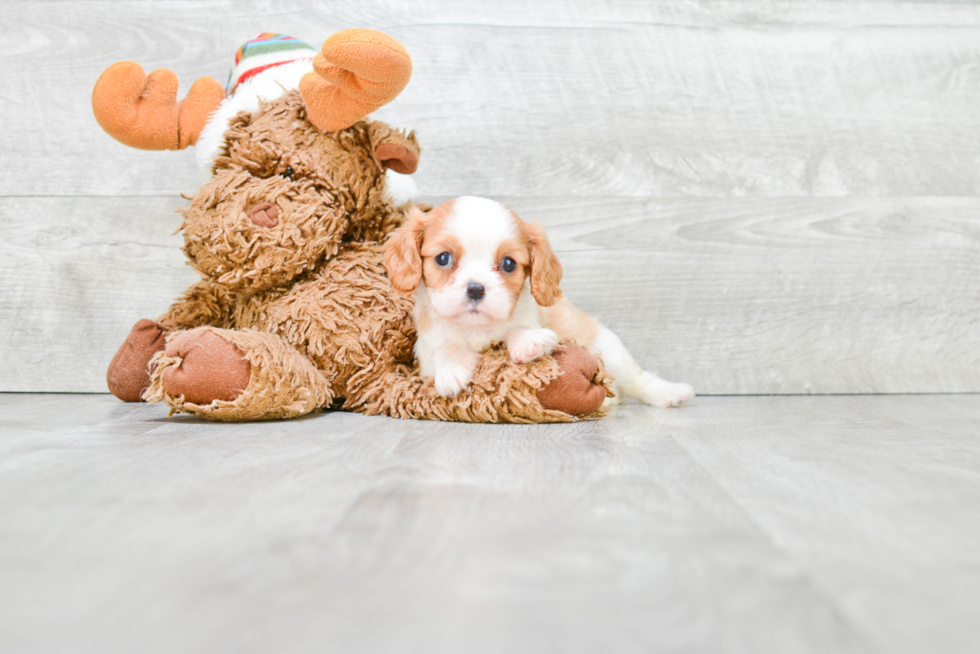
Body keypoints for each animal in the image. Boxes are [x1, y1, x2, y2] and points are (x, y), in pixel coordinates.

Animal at [378, 197, 692, 408]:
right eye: (443, 258)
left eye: (508, 263)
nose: (476, 289)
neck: (477, 328)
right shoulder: (426, 351)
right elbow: (445, 350)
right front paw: (452, 371)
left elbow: (520, 328)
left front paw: (529, 342)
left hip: (609, 349)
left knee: (637, 380)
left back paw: (669, 393)